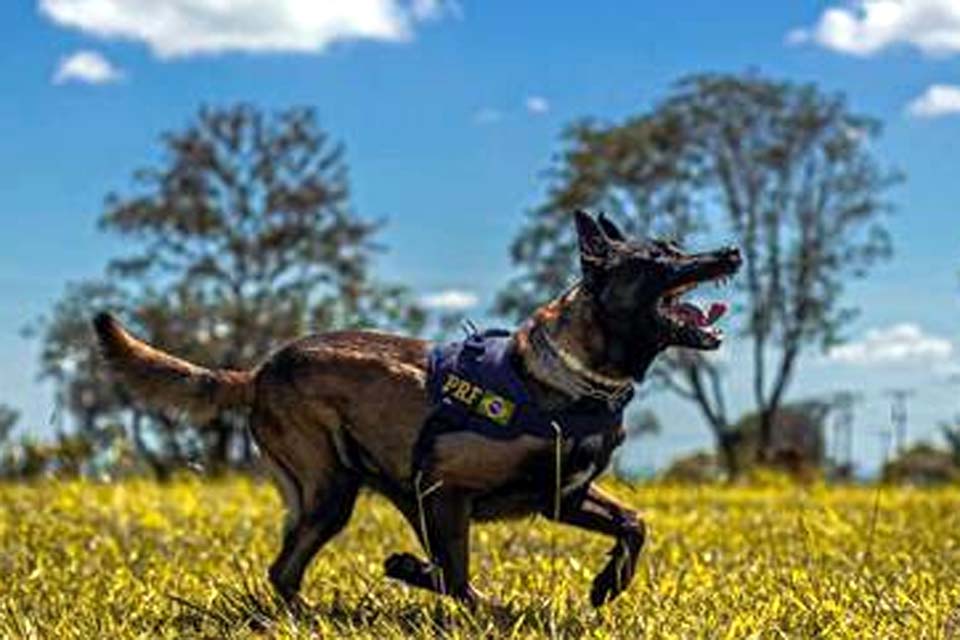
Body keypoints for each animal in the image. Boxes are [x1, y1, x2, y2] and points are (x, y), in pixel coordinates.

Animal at [92, 211, 744, 608]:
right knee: (290, 567)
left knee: (296, 569)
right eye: (659, 258)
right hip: (333, 489)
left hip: (360, 492)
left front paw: (609, 583)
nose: (731, 251)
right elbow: (460, 583)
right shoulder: (445, 489)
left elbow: (635, 523)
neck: (574, 376)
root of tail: (260, 371)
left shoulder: (564, 495)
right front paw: (493, 608)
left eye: (678, 247)